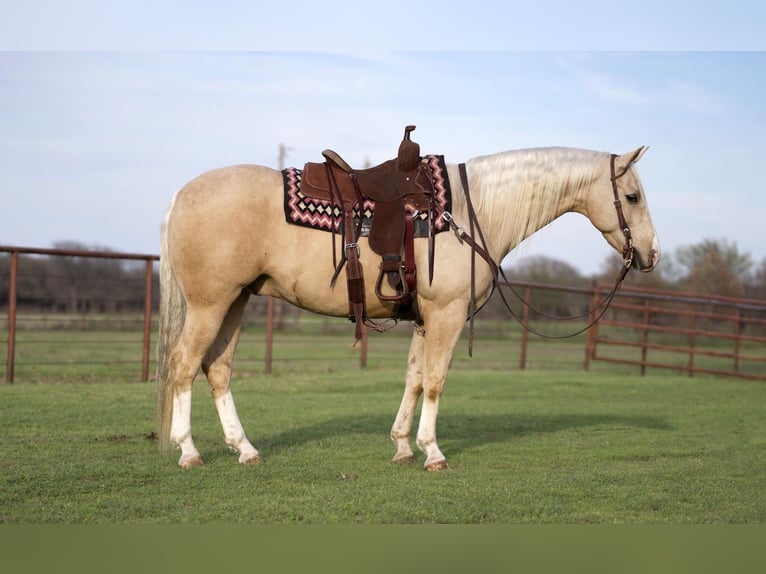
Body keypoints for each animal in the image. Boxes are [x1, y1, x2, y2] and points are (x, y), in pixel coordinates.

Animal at [154, 144, 660, 472]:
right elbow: (435, 381)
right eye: (632, 196)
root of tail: (180, 194)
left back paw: (245, 449)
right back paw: (188, 451)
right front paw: (432, 452)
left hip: (235, 302)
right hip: (210, 304)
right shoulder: (447, 315)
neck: (470, 211)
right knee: (183, 364)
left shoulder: (425, 320)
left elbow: (414, 378)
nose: (651, 255)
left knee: (217, 369)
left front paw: (402, 446)